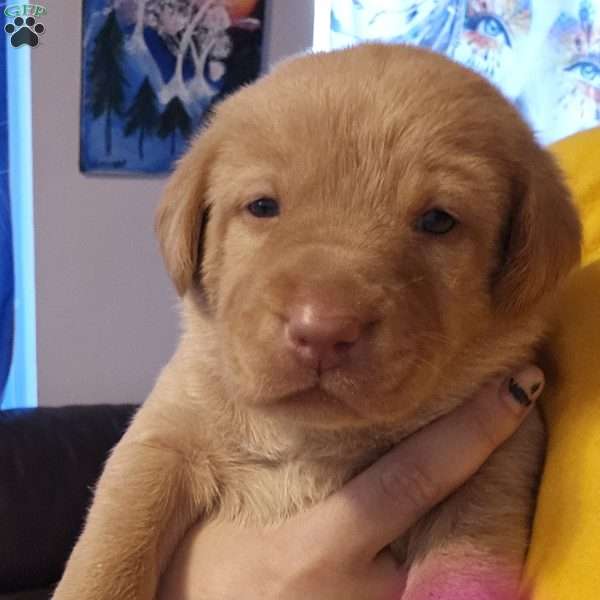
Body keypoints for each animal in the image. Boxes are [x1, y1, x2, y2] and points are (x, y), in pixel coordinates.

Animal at [52, 43, 580, 600]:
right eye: (263, 206)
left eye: (439, 220)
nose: (322, 329)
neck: (309, 440)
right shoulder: (164, 441)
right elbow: (111, 551)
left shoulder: (494, 471)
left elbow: (458, 572)